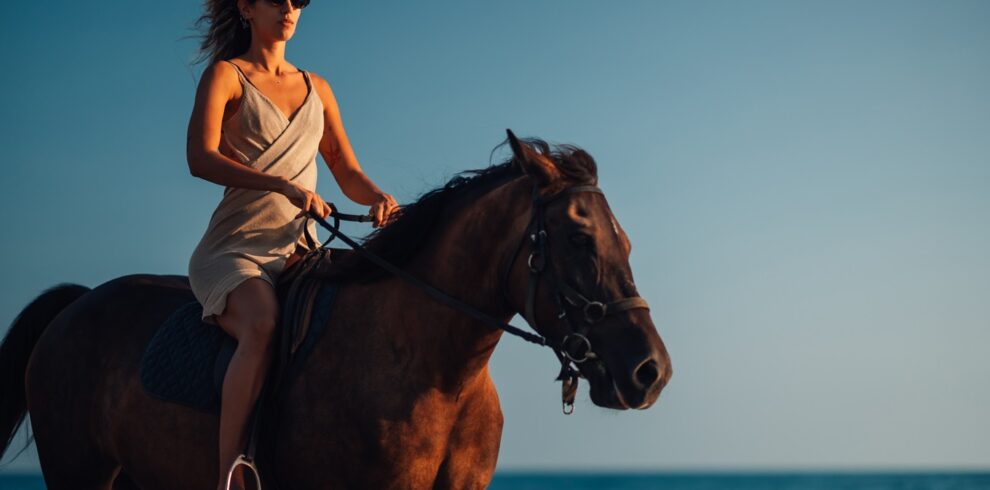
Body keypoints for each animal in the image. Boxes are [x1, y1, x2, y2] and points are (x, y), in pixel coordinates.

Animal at [0, 131, 671, 489]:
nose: (651, 373)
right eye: (578, 238)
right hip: (79, 471)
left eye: (626, 242)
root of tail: (78, 304)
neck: (435, 372)